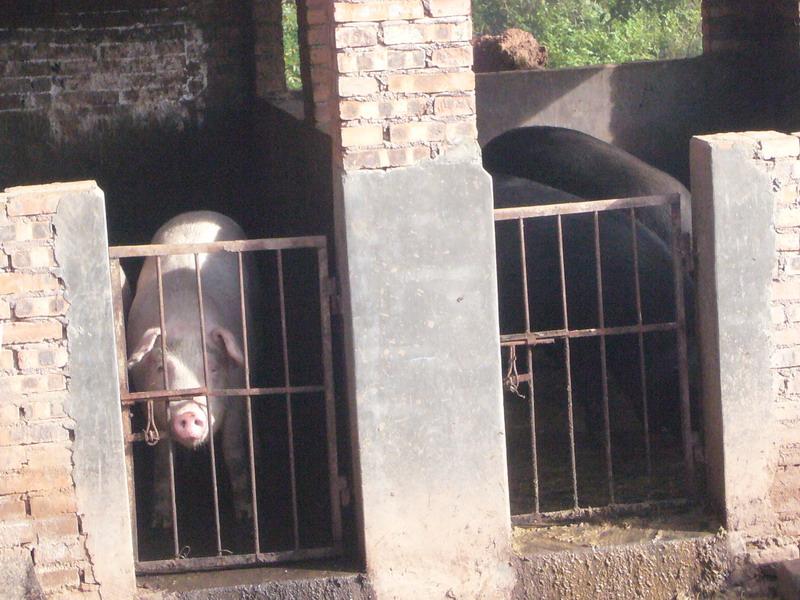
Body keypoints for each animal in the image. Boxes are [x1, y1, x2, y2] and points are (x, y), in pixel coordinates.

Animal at [126, 210, 255, 524]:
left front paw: (245, 514)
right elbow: (163, 459)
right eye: (162, 369)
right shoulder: (149, 402)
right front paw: (161, 521)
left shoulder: (234, 393)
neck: (186, 320)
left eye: (213, 368)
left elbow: (232, 448)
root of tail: (197, 212)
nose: (188, 413)